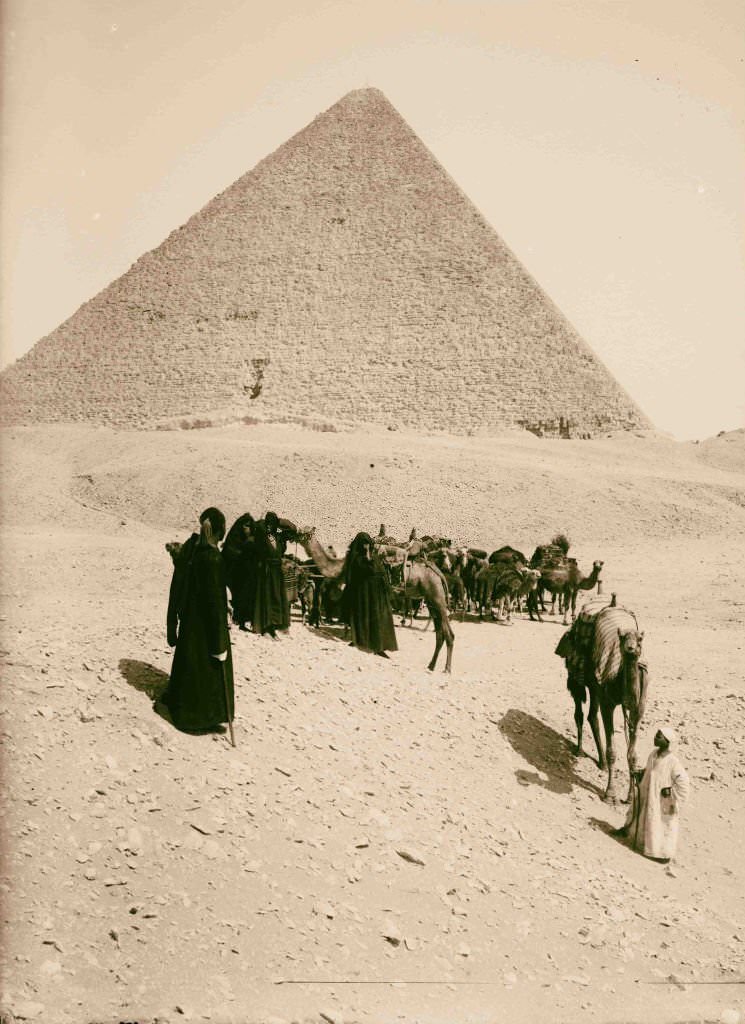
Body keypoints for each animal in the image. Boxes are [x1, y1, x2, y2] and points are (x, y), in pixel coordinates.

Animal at [298, 524, 454, 675]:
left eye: (306, 533)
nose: (296, 532)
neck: (341, 566)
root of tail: (439, 573)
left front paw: (351, 637)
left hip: (437, 597)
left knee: (448, 634)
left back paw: (447, 669)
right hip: (431, 600)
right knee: (439, 634)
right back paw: (431, 665)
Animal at [556, 598, 650, 806]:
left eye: (639, 640)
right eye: (622, 638)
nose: (630, 649)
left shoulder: (638, 709)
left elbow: (632, 755)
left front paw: (630, 797)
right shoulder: (608, 704)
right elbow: (612, 751)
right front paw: (610, 794)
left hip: (595, 687)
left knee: (592, 715)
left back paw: (602, 763)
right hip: (577, 678)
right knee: (580, 712)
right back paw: (580, 750)